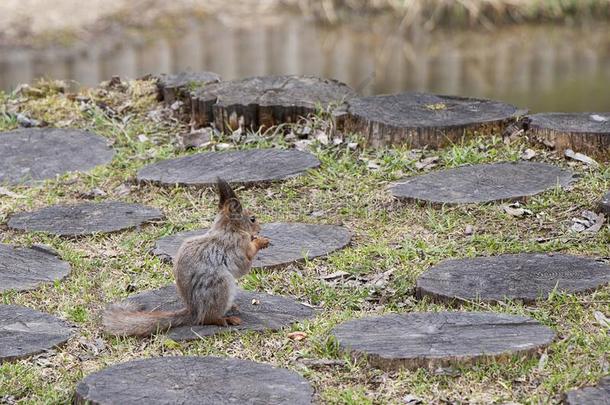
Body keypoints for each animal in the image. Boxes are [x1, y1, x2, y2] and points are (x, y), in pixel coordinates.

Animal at [102, 178, 268, 336]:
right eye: (252, 219)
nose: (260, 229)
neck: (227, 229)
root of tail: (194, 311)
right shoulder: (237, 246)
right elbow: (244, 264)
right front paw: (261, 241)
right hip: (221, 287)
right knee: (208, 319)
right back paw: (226, 319)